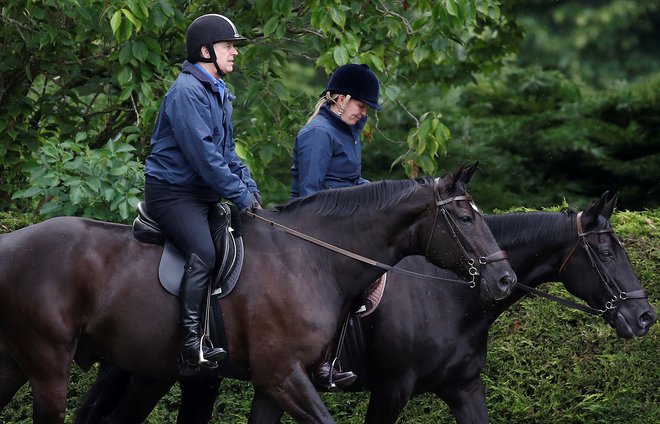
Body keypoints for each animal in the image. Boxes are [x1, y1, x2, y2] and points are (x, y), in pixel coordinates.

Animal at [0, 164, 516, 422]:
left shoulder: (276, 382)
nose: (505, 280)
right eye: (465, 218)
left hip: (34, 365)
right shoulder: (284, 376)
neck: (312, 258)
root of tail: (10, 243)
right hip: (49, 366)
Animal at [71, 193, 656, 424]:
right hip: (150, 373)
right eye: (607, 250)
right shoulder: (391, 390)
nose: (645, 316)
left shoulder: (464, 389)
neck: (450, 294)